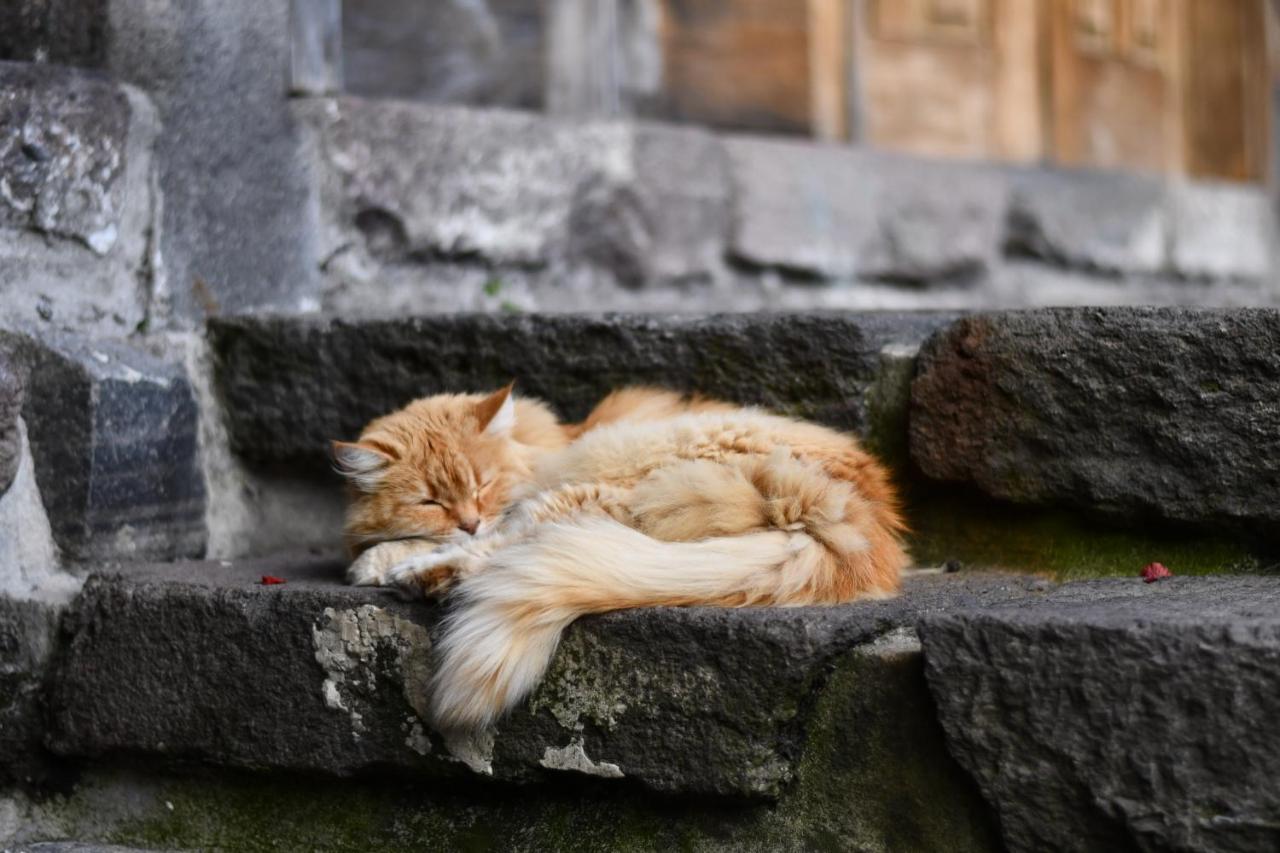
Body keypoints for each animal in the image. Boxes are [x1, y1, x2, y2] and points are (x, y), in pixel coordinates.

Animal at [330, 389, 911, 727]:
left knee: (510, 546)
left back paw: (424, 577)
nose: (469, 518)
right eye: (429, 501)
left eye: (483, 485)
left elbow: (467, 538)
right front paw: (379, 553)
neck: (539, 444)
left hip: (614, 479)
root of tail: (857, 516)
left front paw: (382, 561)